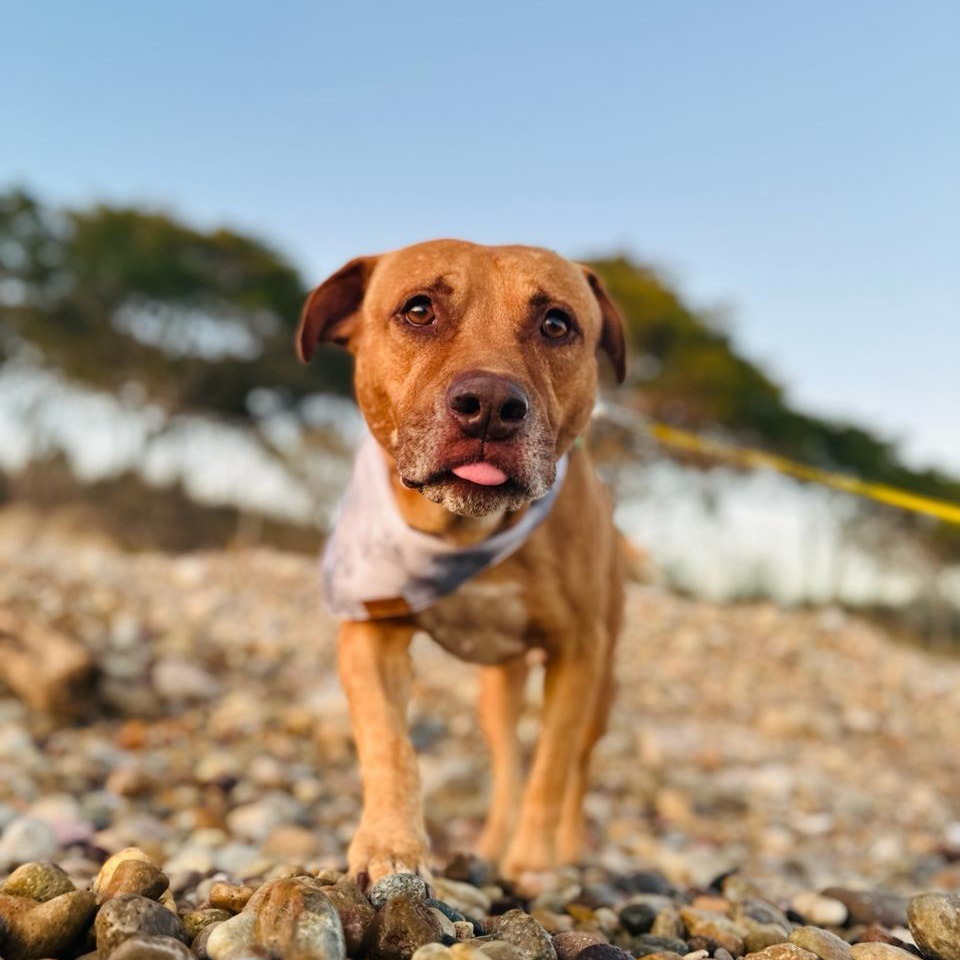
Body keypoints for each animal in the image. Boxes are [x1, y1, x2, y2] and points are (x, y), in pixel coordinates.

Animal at [296, 240, 628, 884]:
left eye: (556, 324)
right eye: (419, 310)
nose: (491, 406)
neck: (463, 532)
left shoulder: (577, 651)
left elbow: (552, 766)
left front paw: (536, 863)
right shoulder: (370, 631)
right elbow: (389, 744)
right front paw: (389, 844)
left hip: (602, 686)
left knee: (573, 765)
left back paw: (564, 849)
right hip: (495, 694)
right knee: (505, 764)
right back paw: (492, 843)